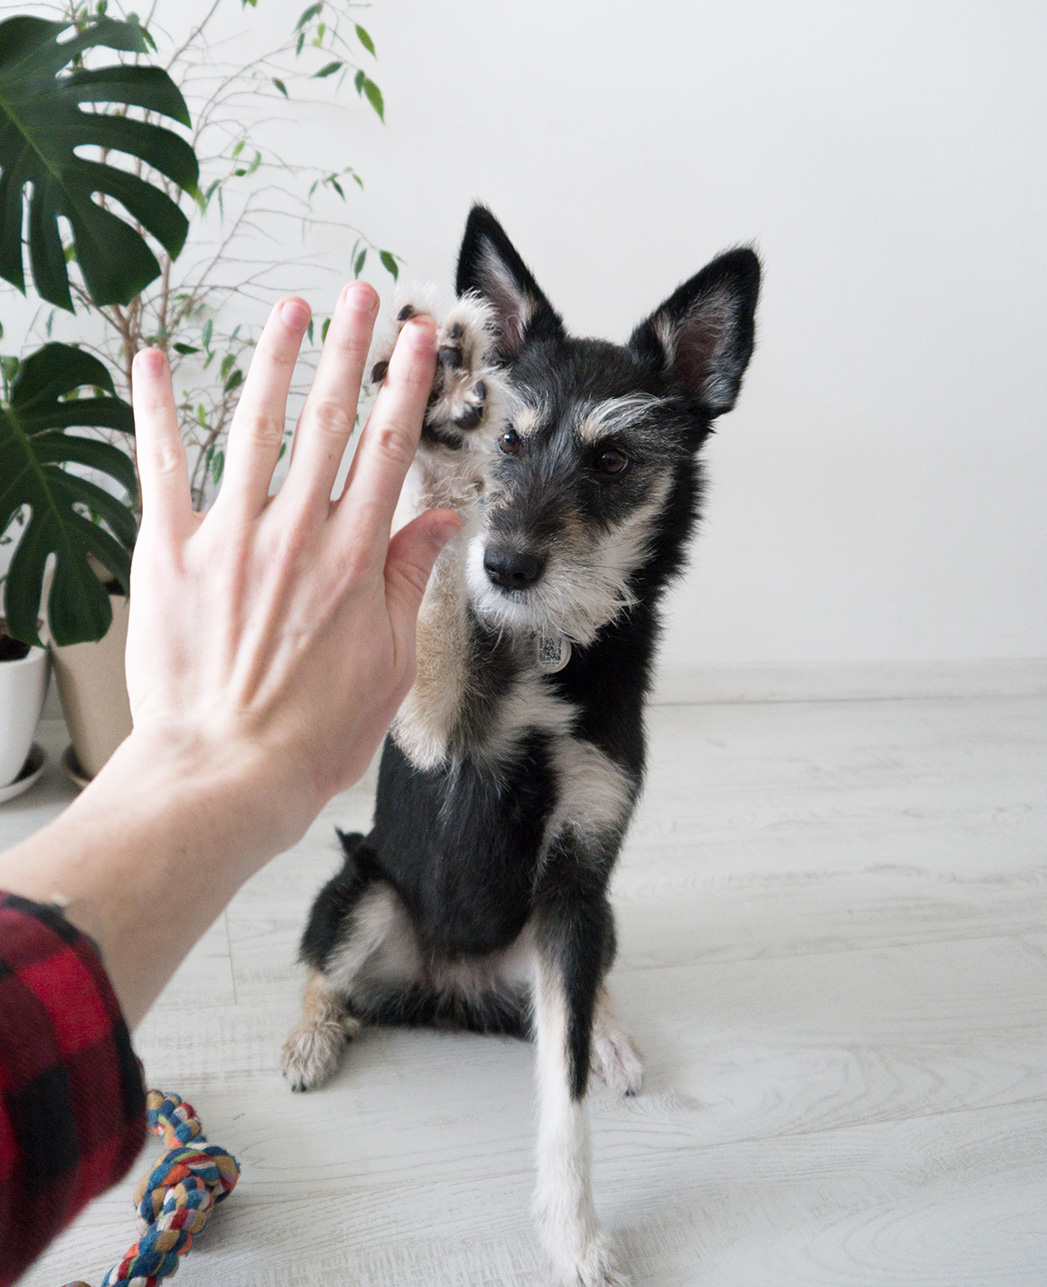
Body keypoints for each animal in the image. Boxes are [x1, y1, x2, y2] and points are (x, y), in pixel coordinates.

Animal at [280, 205, 761, 1281]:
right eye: (510, 436)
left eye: (613, 461)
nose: (509, 565)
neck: (548, 648)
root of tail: (447, 995)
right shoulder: (429, 728)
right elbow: (436, 584)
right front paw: (440, 399)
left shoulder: (577, 881)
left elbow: (563, 1094)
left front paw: (574, 1232)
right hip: (361, 892)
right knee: (321, 974)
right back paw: (311, 1038)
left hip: (586, 929)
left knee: (574, 1009)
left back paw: (612, 1037)